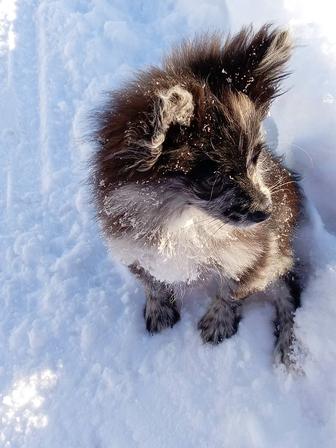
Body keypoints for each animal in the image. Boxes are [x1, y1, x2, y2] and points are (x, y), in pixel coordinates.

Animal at [89, 23, 304, 368]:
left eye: (255, 158)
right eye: (213, 176)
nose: (266, 212)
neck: (181, 218)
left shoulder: (259, 252)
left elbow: (233, 289)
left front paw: (218, 321)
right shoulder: (129, 246)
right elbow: (150, 282)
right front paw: (160, 309)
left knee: (287, 297)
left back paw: (287, 350)